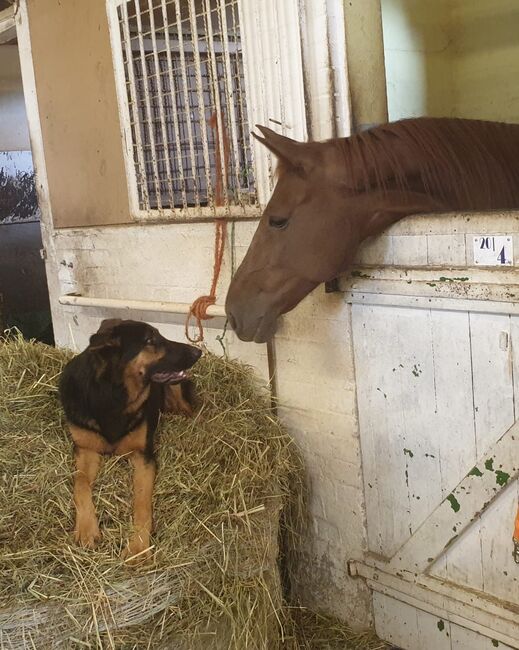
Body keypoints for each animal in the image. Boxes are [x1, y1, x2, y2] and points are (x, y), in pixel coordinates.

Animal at [59, 318, 201, 556]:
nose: (198, 351)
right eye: (150, 340)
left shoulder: (143, 457)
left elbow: (142, 503)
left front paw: (138, 549)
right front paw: (87, 528)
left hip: (176, 387)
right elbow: (80, 484)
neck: (113, 396)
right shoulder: (86, 450)